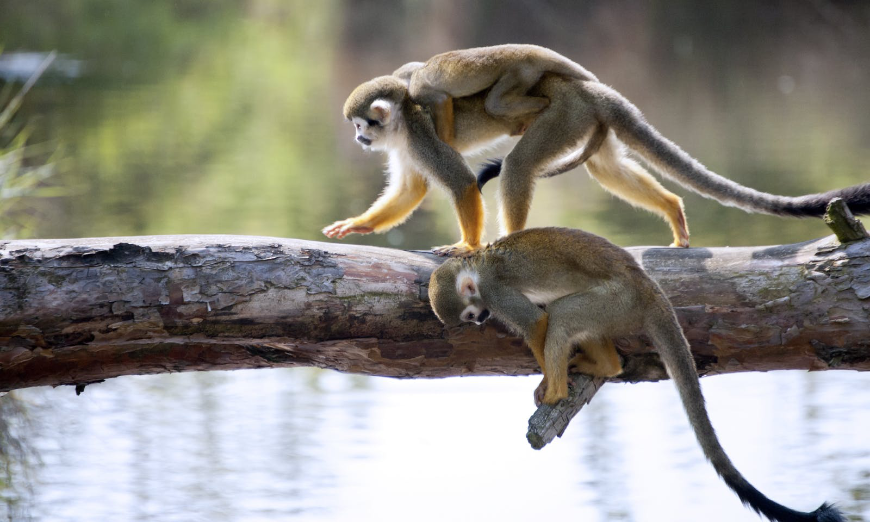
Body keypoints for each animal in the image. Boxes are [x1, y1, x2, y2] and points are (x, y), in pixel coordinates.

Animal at [427, 226, 845, 522]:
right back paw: (606, 366)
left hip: (616, 299)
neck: (478, 268)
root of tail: (647, 286)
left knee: (562, 313)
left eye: (471, 314)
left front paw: (548, 384)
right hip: (616, 307)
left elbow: (537, 323)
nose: (479, 320)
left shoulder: (497, 292)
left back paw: (559, 391)